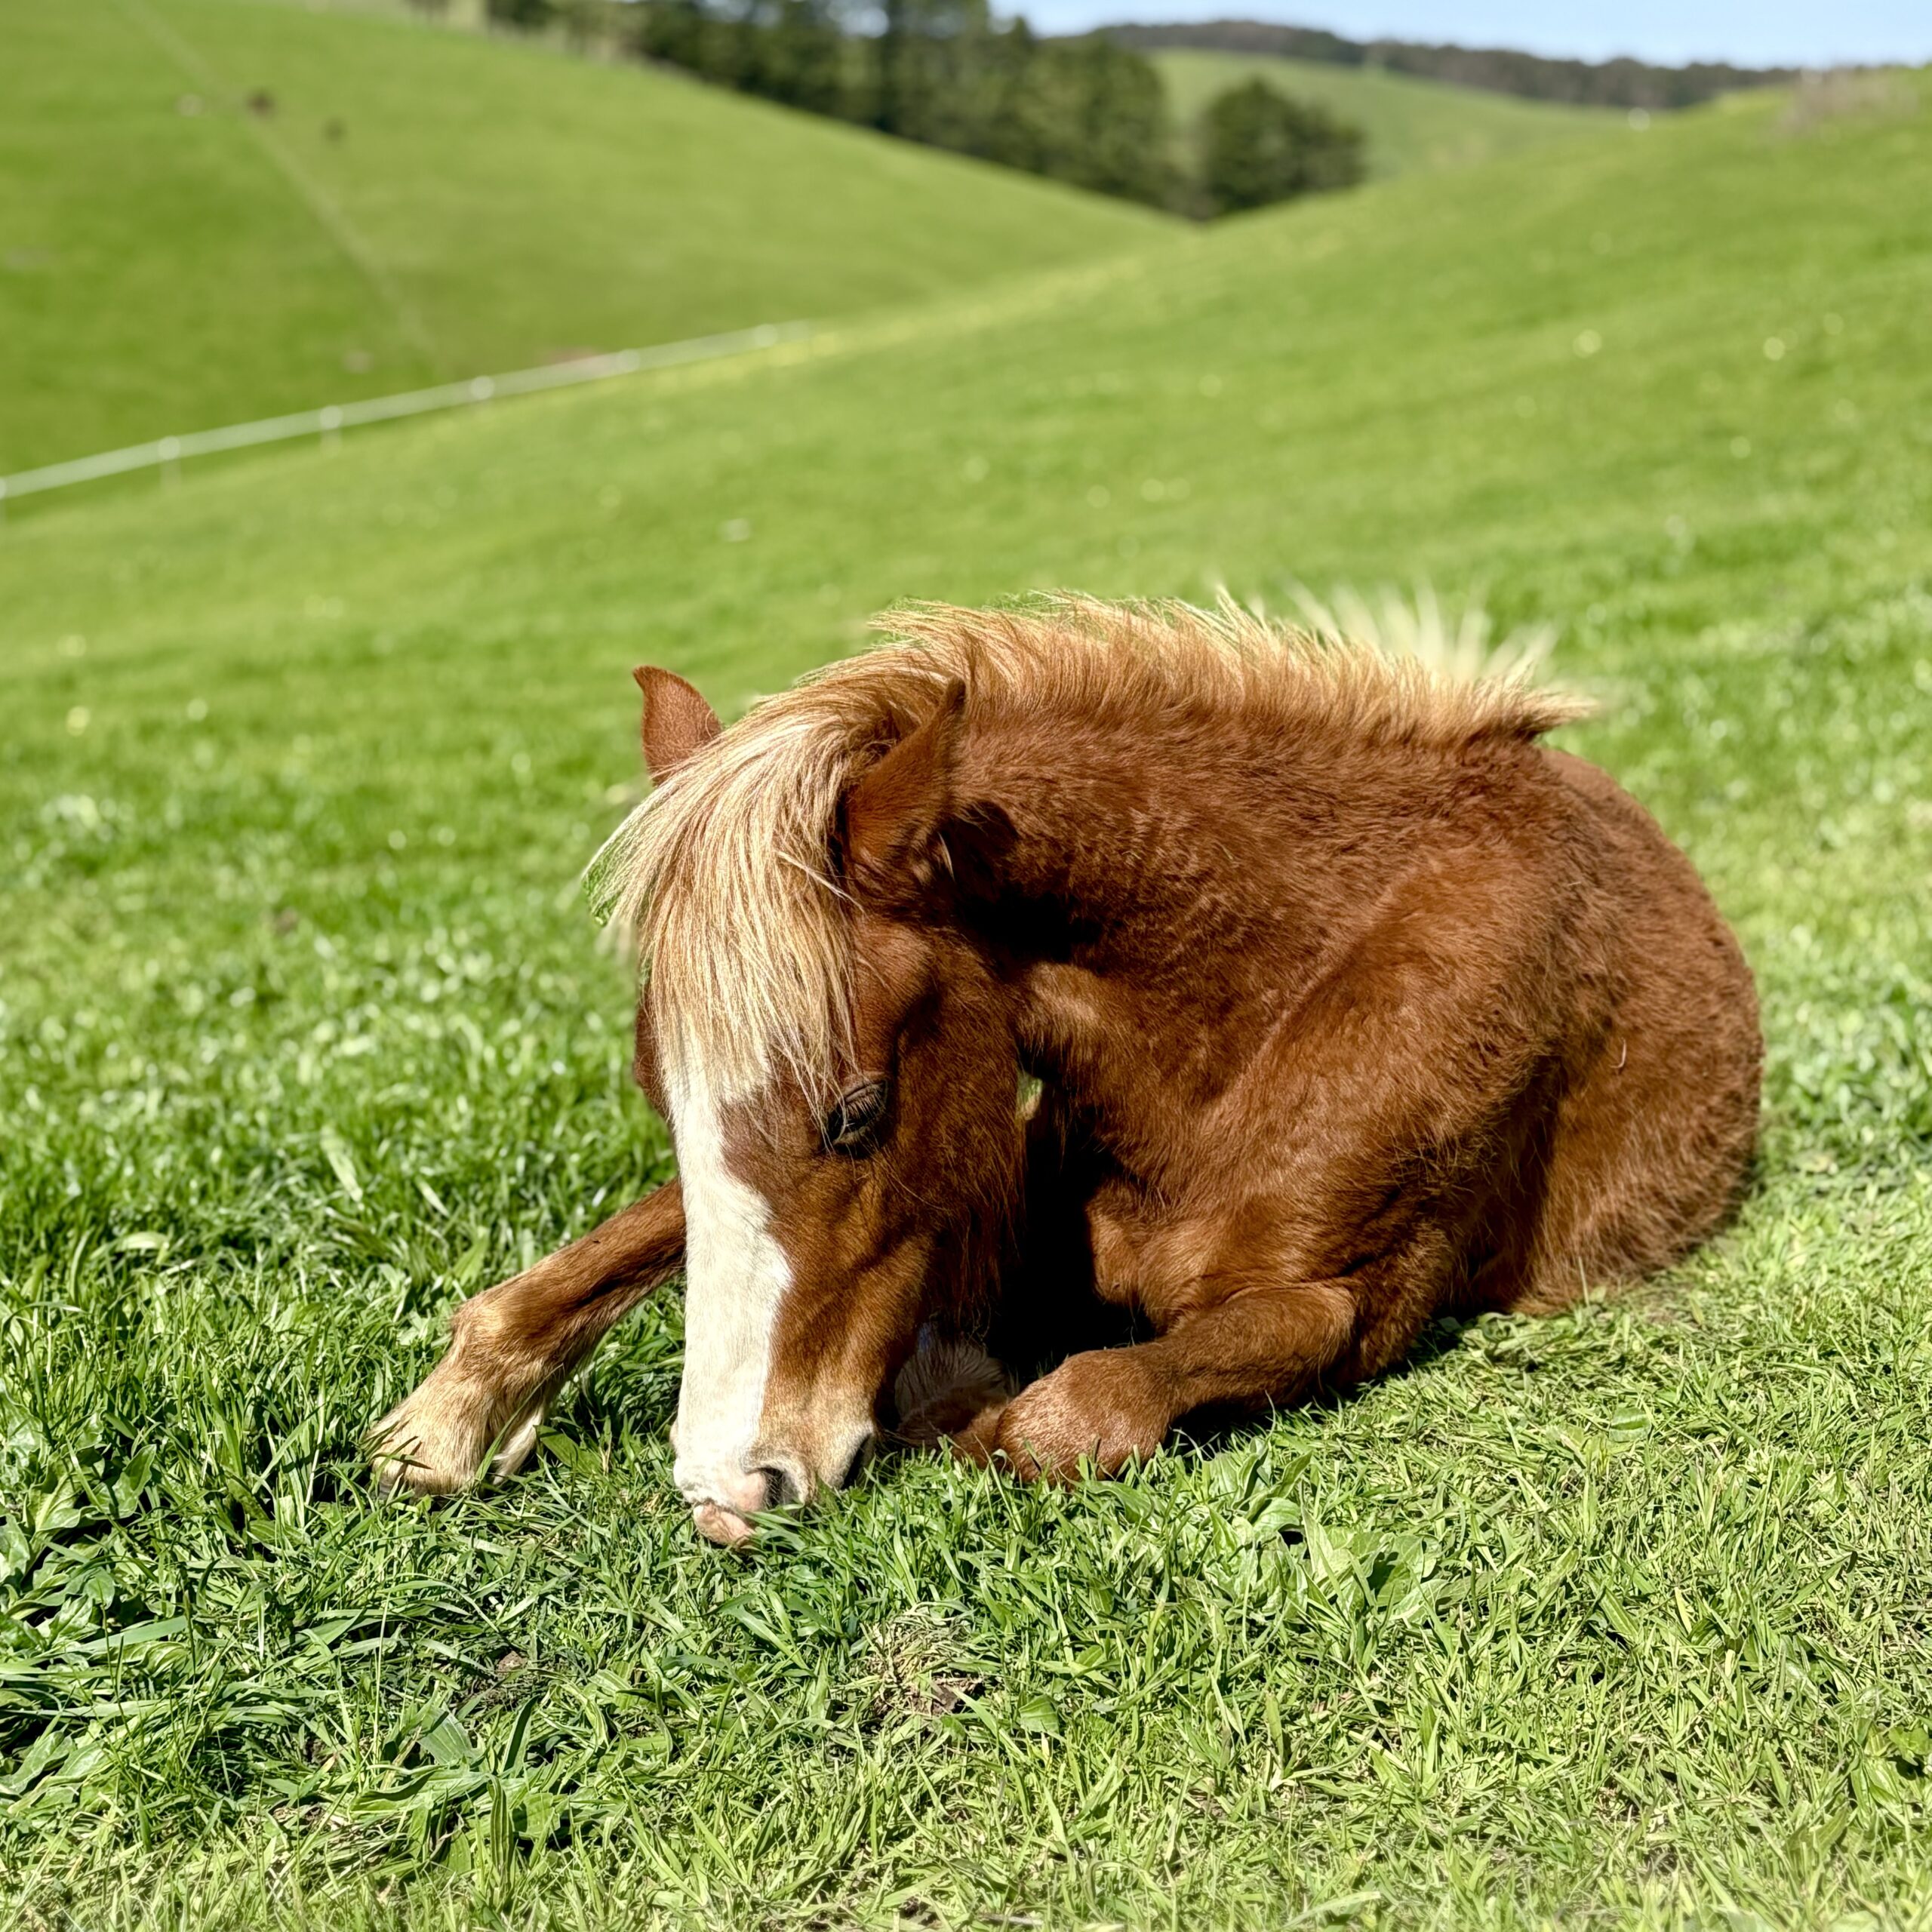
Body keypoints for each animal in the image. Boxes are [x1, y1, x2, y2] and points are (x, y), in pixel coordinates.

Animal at [371, 598, 1761, 1546]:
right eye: (661, 1102)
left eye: (857, 1112)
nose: (730, 1489)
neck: (1259, 1013)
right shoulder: (994, 1181)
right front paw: (443, 1429)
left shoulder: (1349, 1307)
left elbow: (1060, 1415)